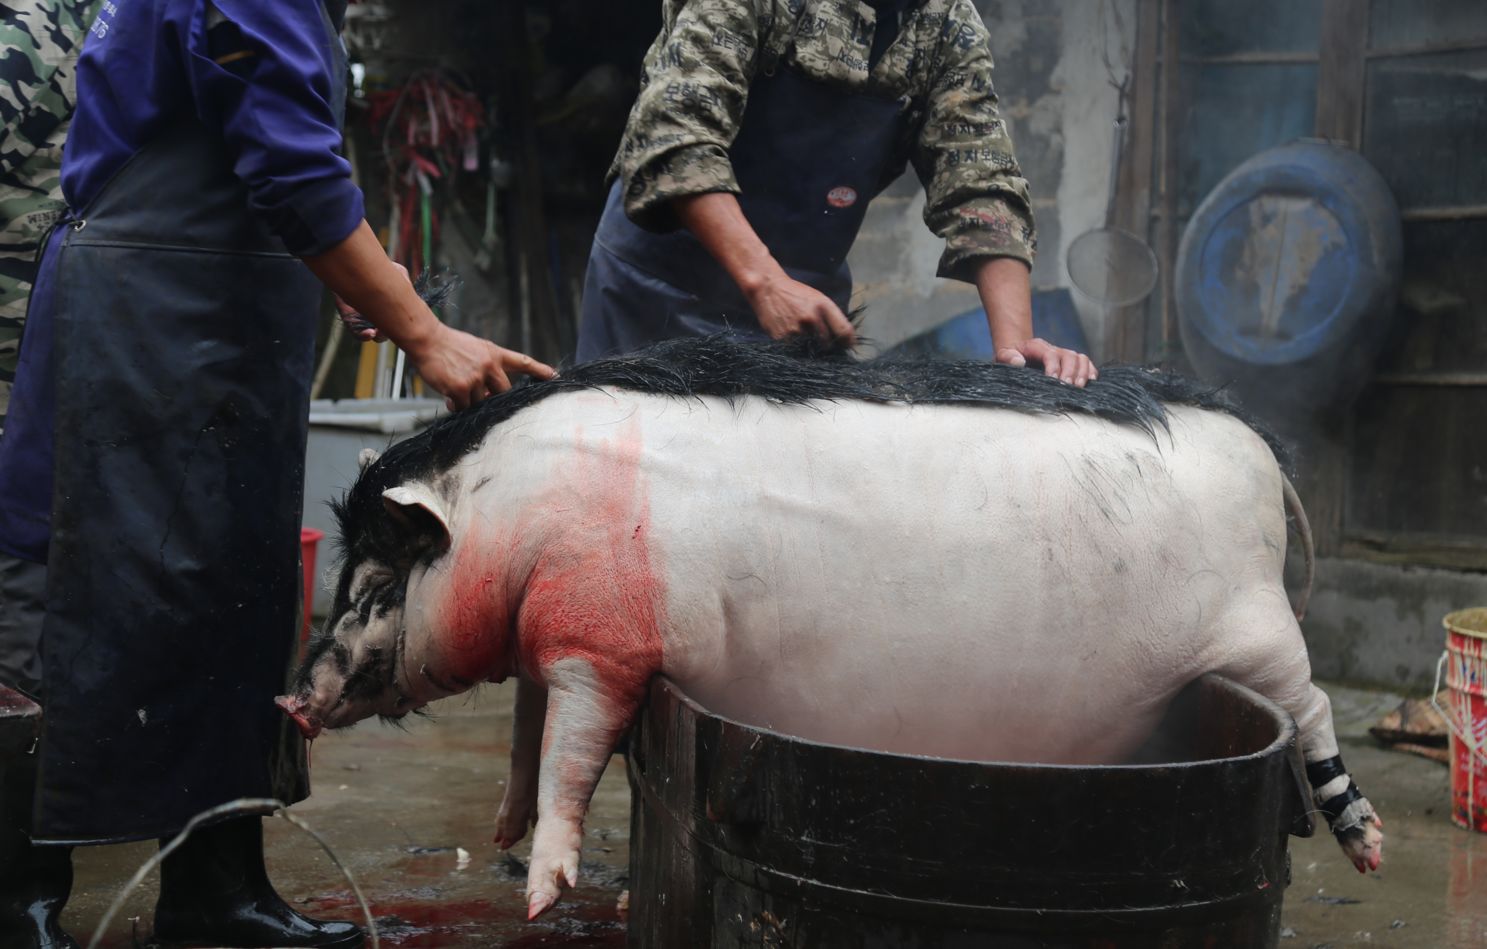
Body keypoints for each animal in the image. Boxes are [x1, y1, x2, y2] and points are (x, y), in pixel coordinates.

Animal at [279, 336, 1379, 922]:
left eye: (372, 584)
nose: (291, 695)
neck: (512, 521)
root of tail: (1255, 444)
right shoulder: (551, 630)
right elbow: (526, 729)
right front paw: (503, 833)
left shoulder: (605, 640)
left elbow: (571, 751)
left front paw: (542, 898)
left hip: (1254, 622)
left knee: (1313, 705)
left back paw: (1364, 846)